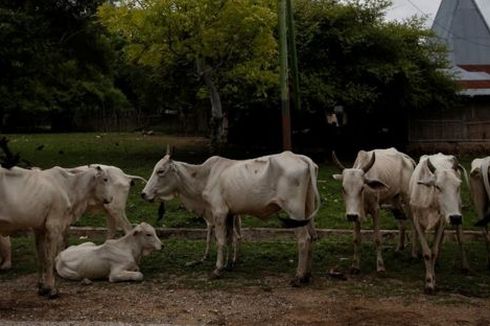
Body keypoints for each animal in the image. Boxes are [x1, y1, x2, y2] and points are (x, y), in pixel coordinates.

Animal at [0, 166, 113, 298]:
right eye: (105, 179)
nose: (111, 198)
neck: (68, 186)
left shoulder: (39, 228)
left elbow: (41, 257)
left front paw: (41, 286)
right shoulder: (53, 227)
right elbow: (49, 258)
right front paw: (51, 289)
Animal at [141, 152, 322, 284]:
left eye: (160, 171)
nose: (143, 194)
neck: (205, 177)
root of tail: (300, 157)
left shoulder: (219, 212)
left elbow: (220, 240)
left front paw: (218, 269)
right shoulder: (230, 214)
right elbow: (229, 239)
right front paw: (229, 265)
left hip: (294, 211)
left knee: (304, 239)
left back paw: (299, 276)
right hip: (307, 210)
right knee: (313, 237)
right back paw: (308, 275)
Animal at [408, 154, 468, 294]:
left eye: (458, 186)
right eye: (437, 186)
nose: (455, 218)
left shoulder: (441, 221)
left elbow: (433, 251)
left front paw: (432, 281)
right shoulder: (418, 222)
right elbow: (427, 252)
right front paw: (429, 282)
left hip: (457, 211)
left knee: (460, 239)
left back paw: (464, 266)